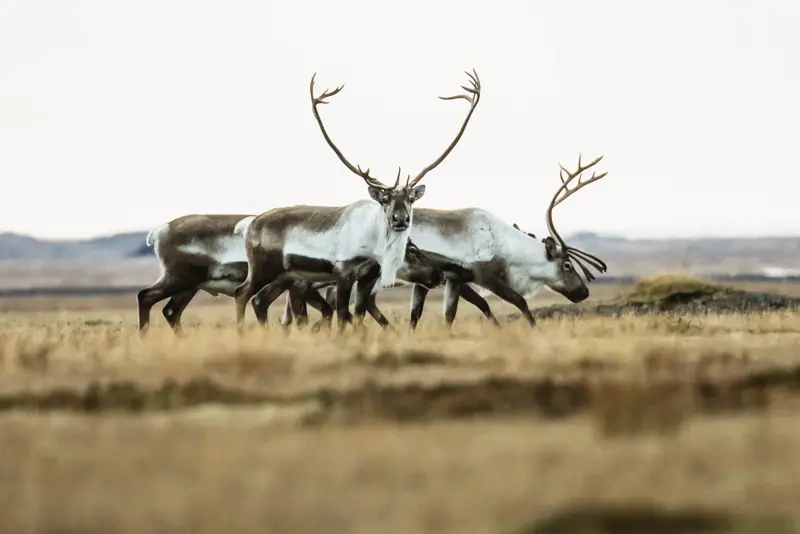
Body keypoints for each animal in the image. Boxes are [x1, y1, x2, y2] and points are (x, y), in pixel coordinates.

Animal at [232, 69, 483, 333]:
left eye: (410, 199)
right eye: (385, 199)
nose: (401, 219)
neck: (373, 248)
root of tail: (250, 223)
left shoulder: (367, 277)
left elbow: (359, 313)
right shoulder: (343, 273)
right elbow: (343, 314)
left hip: (285, 276)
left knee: (259, 300)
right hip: (262, 268)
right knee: (242, 293)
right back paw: (241, 332)